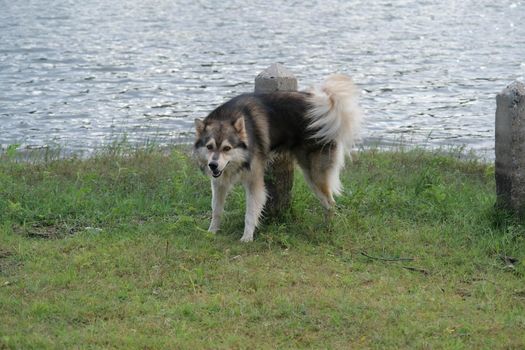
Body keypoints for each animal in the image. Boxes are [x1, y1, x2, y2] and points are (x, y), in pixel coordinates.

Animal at [192, 75, 360, 242]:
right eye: (209, 147)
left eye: (227, 148)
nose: (213, 165)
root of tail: (325, 105)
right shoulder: (218, 182)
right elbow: (216, 209)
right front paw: (212, 231)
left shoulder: (254, 182)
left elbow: (250, 213)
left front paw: (247, 237)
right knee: (327, 203)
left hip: (315, 175)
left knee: (330, 203)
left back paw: (328, 229)